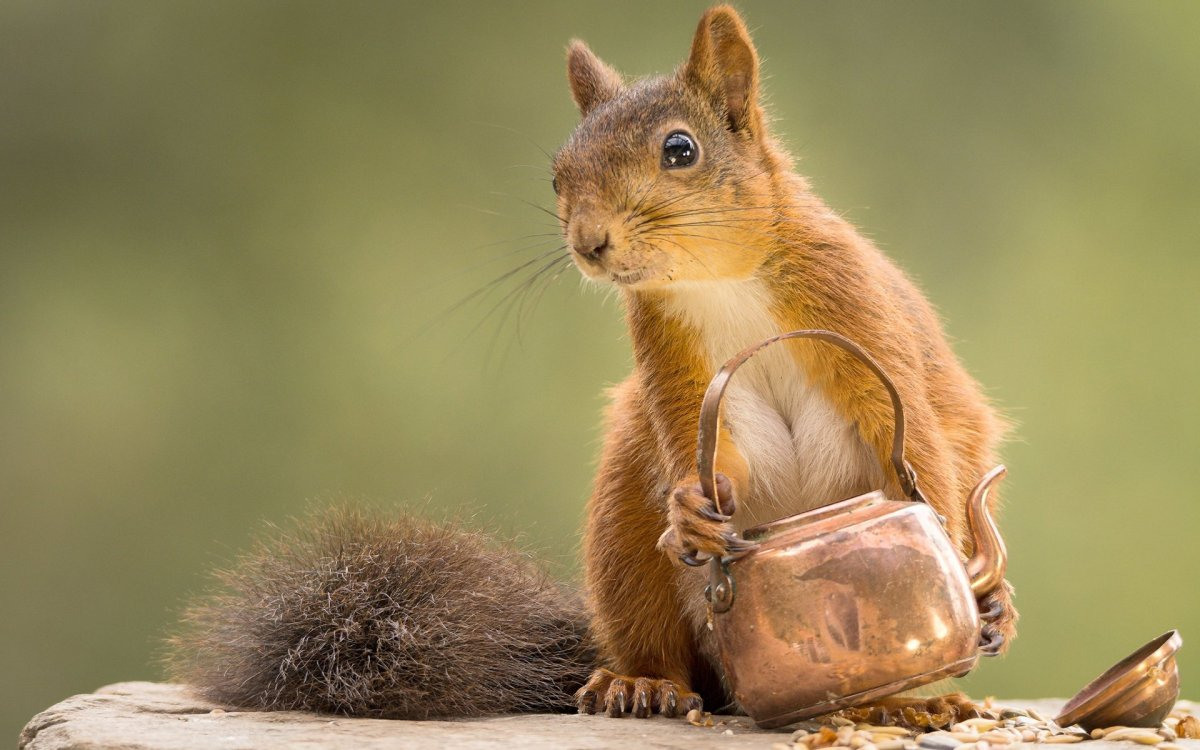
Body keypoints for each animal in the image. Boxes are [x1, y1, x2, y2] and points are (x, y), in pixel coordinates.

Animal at [166, 2, 1012, 724]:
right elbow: (702, 449)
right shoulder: (670, 363)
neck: (720, 281)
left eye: (681, 150)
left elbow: (917, 441)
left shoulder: (857, 314)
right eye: (557, 175)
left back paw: (914, 693)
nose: (588, 241)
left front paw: (956, 561)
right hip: (624, 527)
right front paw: (692, 508)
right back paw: (640, 683)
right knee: (659, 640)